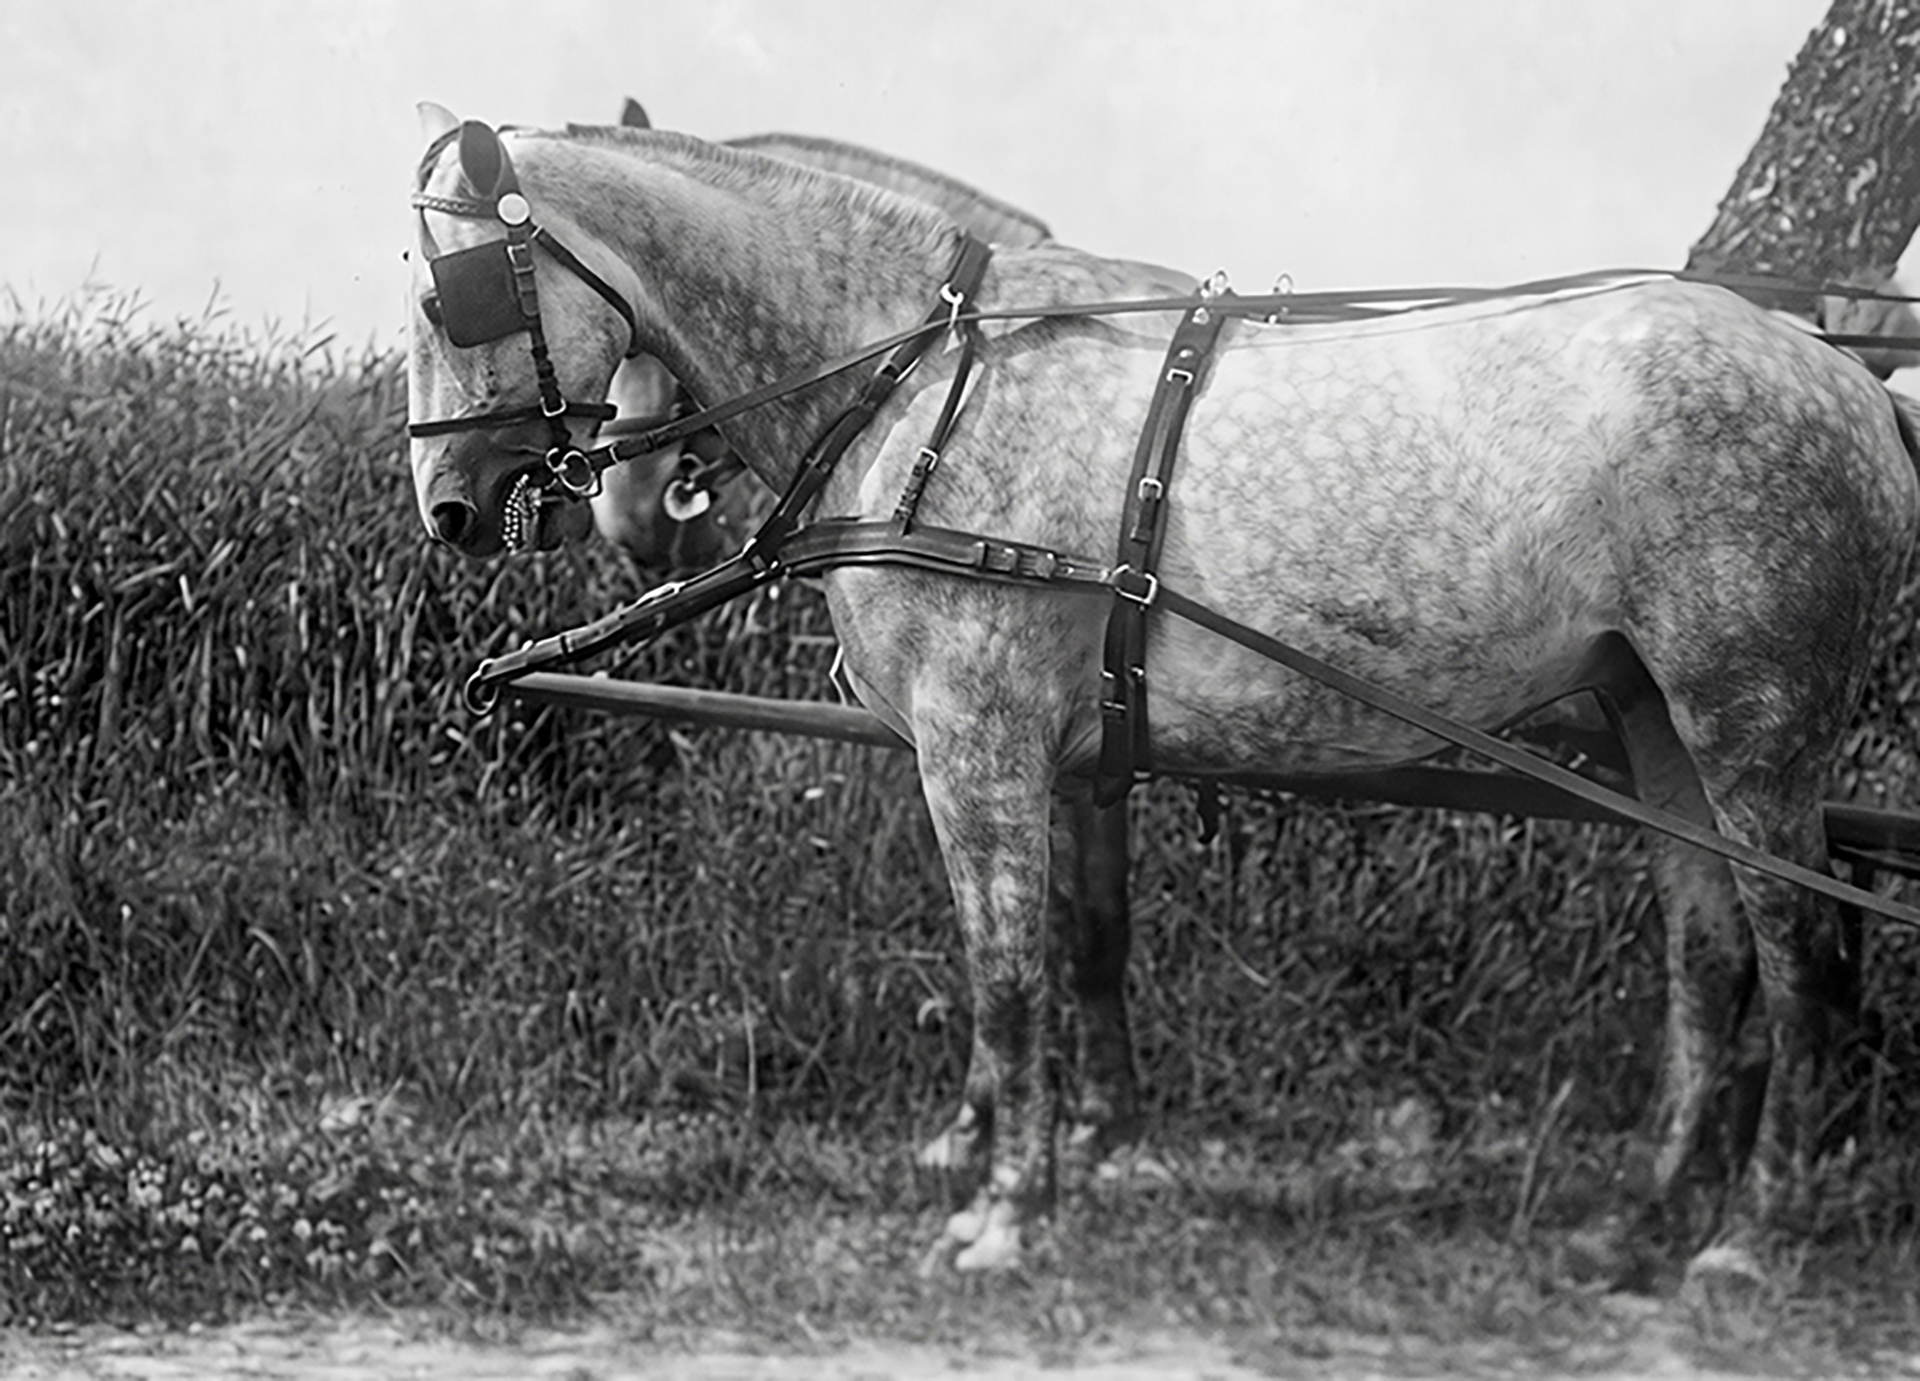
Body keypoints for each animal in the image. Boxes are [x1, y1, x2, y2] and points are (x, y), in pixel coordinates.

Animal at [405, 109, 1920, 1282]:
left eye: (445, 294)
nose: (451, 510)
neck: (925, 378)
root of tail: (1854, 384)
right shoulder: (1076, 759)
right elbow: (1085, 943)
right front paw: (1074, 1149)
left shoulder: (981, 746)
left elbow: (1006, 969)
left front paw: (1006, 1211)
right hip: (1651, 716)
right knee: (1707, 954)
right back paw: (1644, 1221)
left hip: (1752, 724)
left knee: (1806, 957)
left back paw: (1751, 1235)